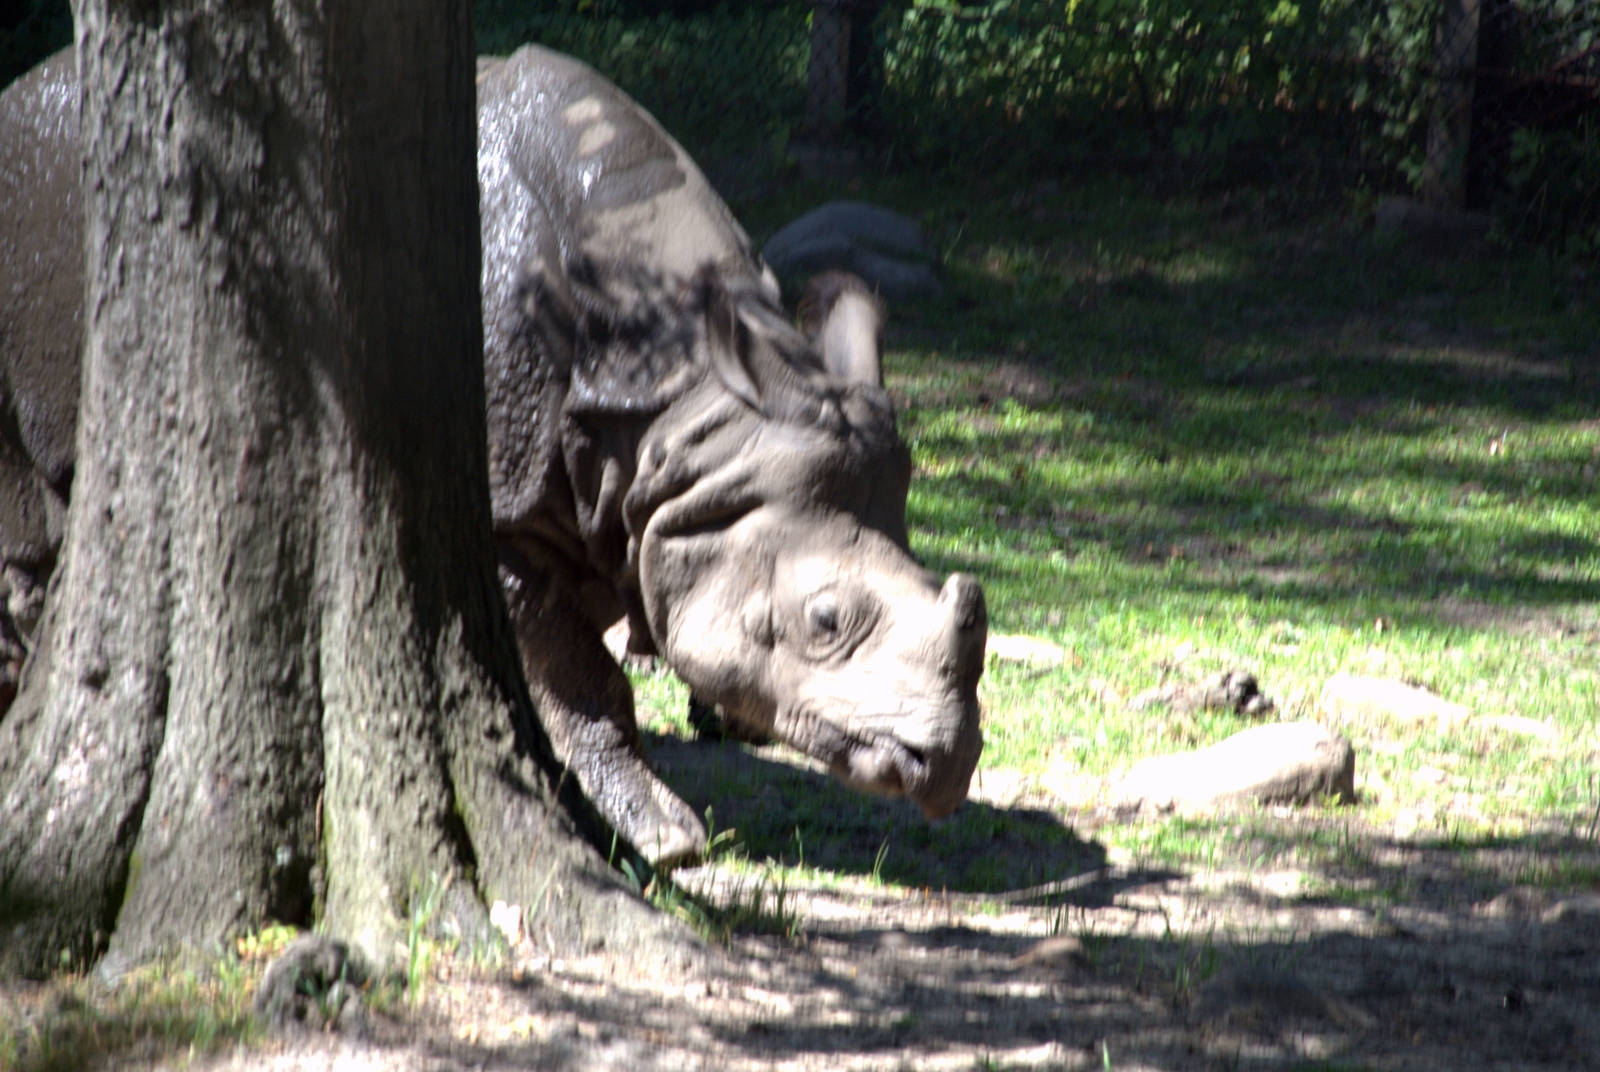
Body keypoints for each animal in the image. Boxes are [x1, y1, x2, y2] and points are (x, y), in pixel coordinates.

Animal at [0, 44, 987, 865]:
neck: (679, 411)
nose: (946, 764)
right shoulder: (506, 514)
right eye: (824, 620)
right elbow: (579, 672)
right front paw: (667, 841)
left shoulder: (657, 490)